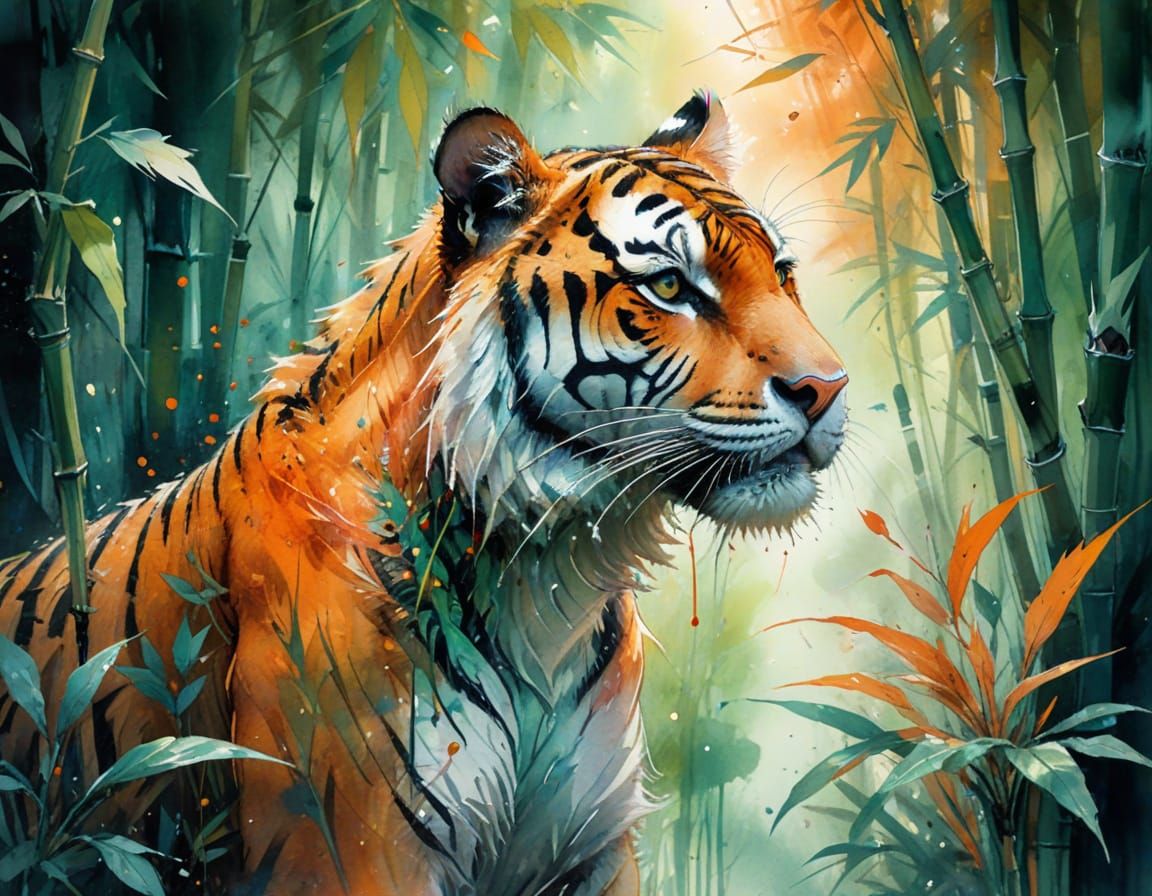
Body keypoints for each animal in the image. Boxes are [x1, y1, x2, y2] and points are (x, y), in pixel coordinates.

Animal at [0, 91, 847, 894]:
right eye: (670, 285)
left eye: (783, 272)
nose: (828, 388)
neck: (552, 578)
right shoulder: (351, 850)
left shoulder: (592, 847)